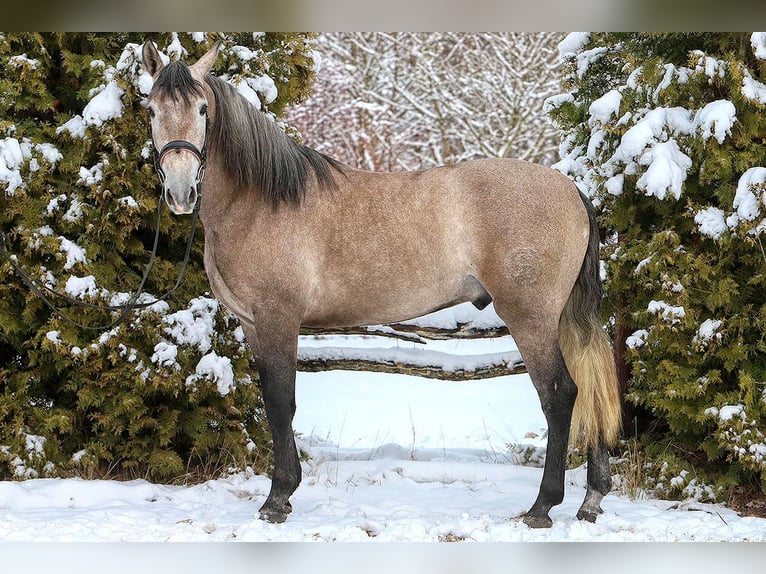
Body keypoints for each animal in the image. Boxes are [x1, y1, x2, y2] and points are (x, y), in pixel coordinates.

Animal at [140, 39, 621, 529]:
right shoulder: (254, 324)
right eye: (152, 109)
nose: (180, 192)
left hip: (531, 318)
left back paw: (542, 506)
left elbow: (280, 404)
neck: (261, 202)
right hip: (560, 318)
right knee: (591, 388)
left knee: (560, 396)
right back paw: (591, 499)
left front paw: (277, 499)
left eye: (202, 109)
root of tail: (571, 189)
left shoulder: (279, 319)